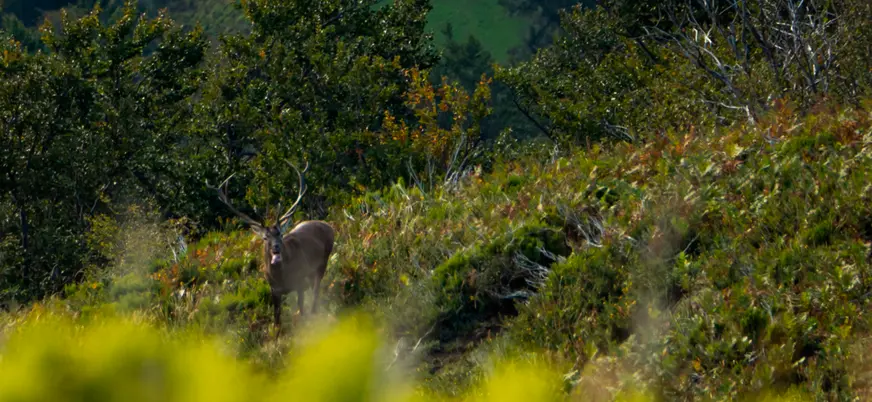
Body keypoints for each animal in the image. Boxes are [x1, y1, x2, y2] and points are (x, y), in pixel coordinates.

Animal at [208, 160, 335, 331]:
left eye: (280, 234)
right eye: (265, 237)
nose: (276, 247)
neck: (282, 277)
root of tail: (328, 226)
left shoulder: (299, 282)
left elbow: (301, 312)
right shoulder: (274, 290)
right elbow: (277, 321)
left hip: (321, 265)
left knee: (315, 295)